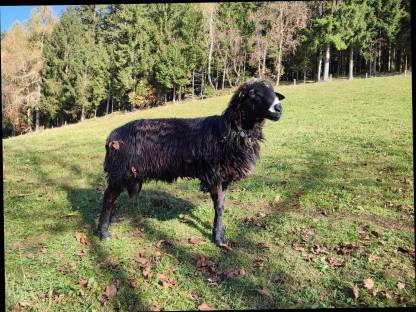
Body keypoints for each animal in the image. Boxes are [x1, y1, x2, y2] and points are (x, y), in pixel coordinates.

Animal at [99, 78, 284, 246]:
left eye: (274, 92)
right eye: (252, 93)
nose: (278, 108)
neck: (230, 130)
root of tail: (111, 137)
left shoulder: (224, 177)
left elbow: (222, 206)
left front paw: (219, 233)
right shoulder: (214, 175)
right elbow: (218, 207)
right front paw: (218, 238)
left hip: (126, 174)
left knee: (112, 197)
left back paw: (112, 222)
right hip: (120, 171)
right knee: (108, 197)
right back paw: (103, 232)